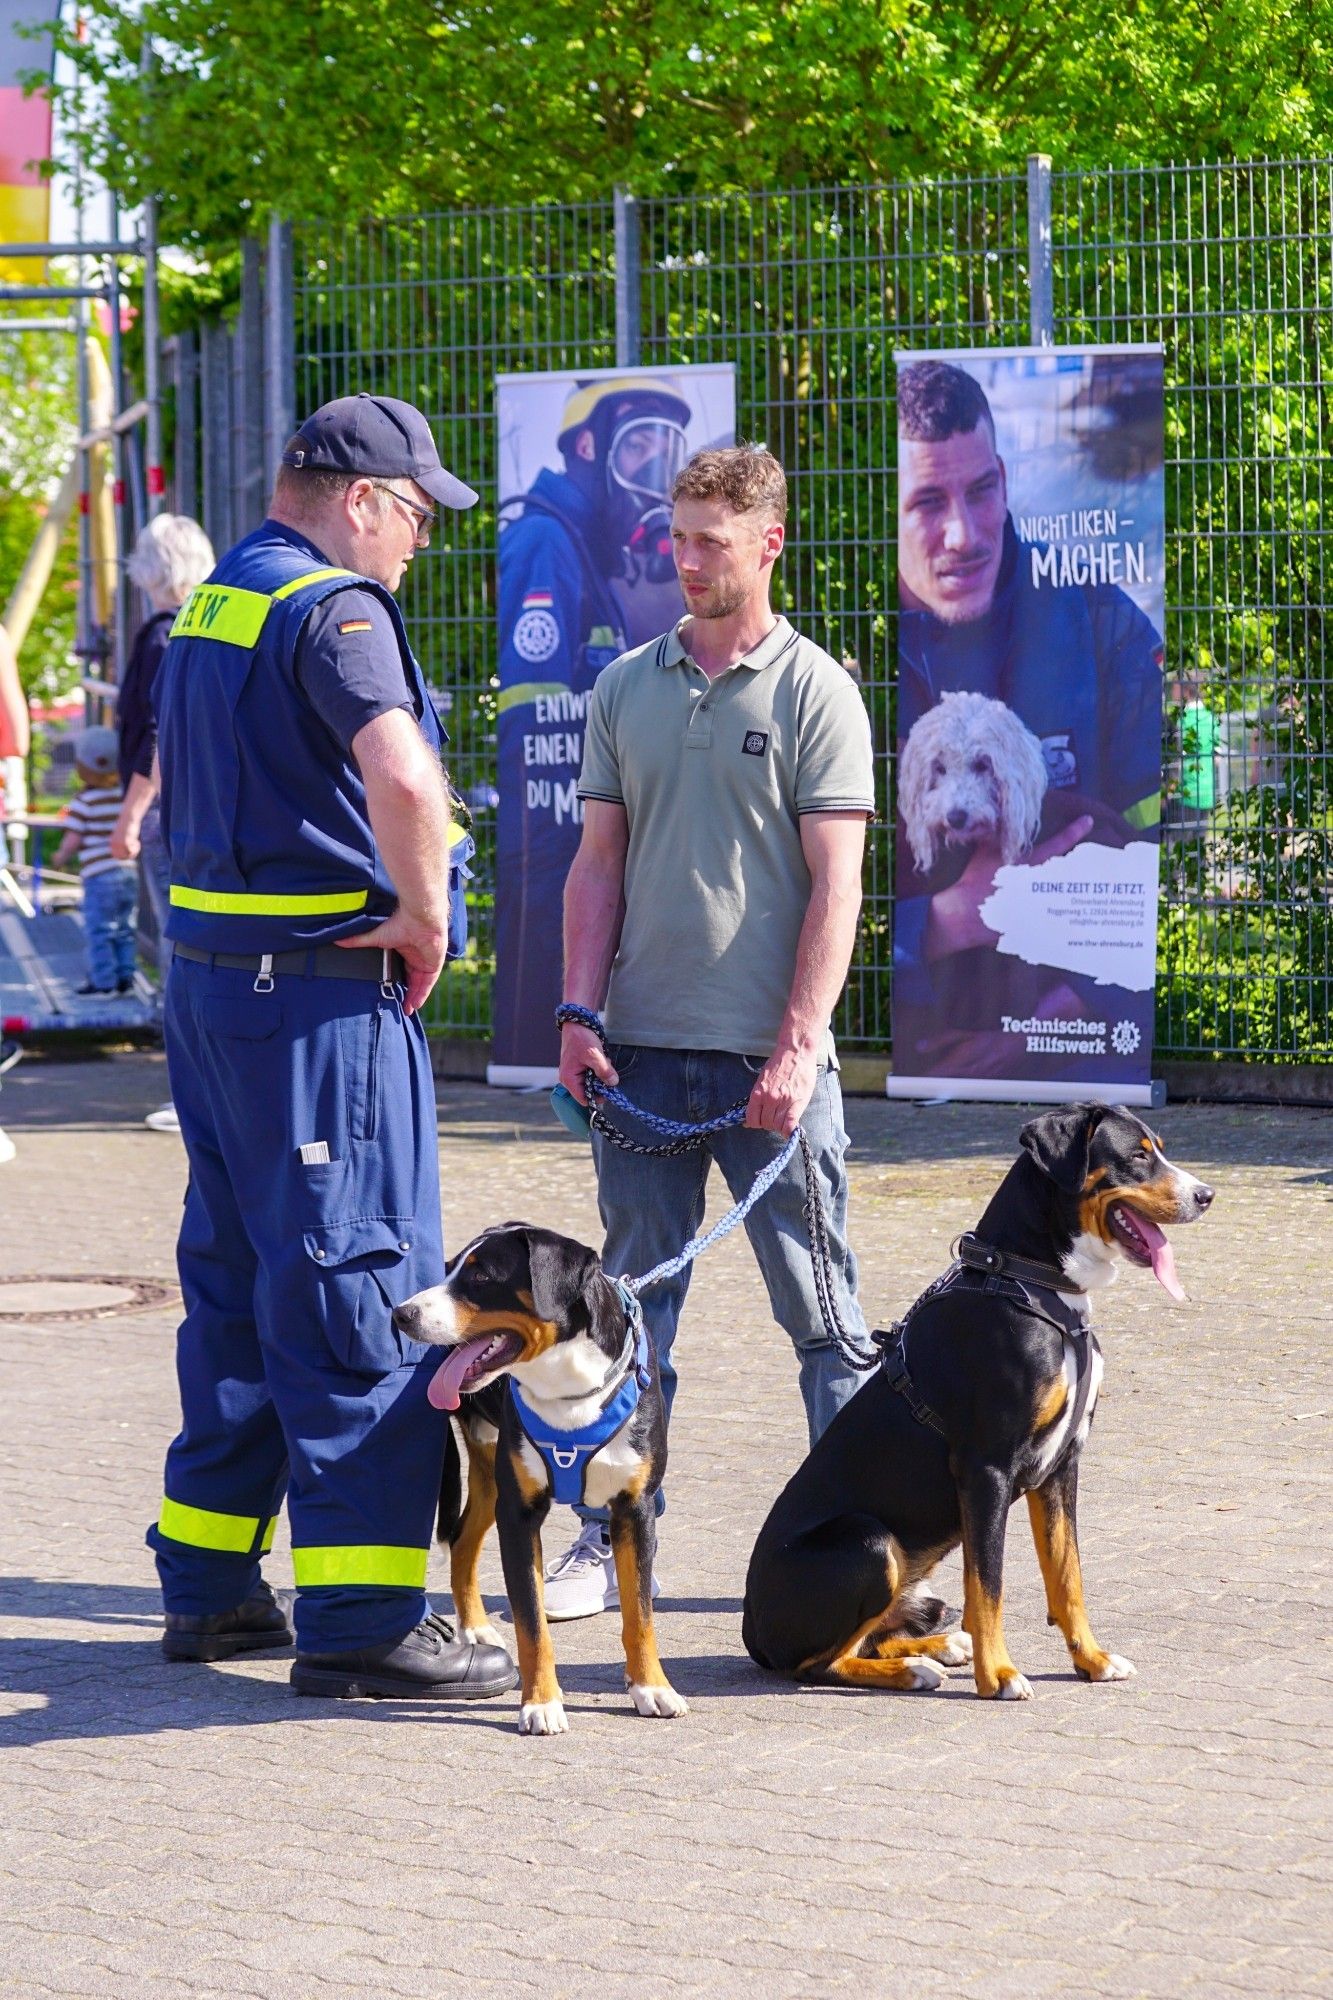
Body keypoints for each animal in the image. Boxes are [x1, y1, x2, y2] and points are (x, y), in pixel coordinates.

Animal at [392, 1216, 684, 1736]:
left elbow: (640, 1616)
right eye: (449, 1270)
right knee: (461, 1540)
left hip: (491, 1476)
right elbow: (532, 1625)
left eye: (481, 1275)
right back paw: (474, 1629)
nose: (402, 1313)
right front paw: (541, 1704)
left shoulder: (635, 1509)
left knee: (463, 1539)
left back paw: (474, 1627)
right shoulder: (520, 1513)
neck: (567, 1391)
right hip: (493, 1473)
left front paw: (651, 1688)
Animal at [740, 1112, 1208, 1704]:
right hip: (870, 1543)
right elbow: (988, 1584)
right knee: (819, 1663)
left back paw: (939, 1646)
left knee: (872, 1637)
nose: (1206, 1195)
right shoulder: (986, 1469)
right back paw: (915, 1669)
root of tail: (750, 1625)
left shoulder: (1062, 1466)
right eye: (1139, 1155)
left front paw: (1092, 1660)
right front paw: (1000, 1675)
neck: (1031, 1282)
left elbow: (1068, 1575)